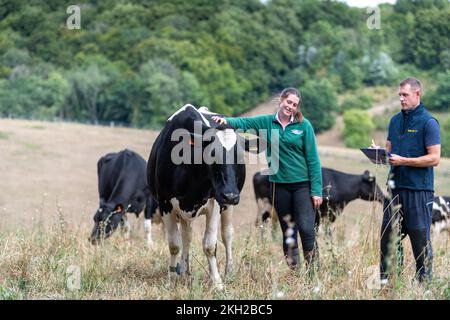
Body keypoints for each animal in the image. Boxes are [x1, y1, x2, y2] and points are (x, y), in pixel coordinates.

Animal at [148, 104, 253, 290]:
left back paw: (229, 272)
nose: (230, 195)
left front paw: (217, 282)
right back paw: (184, 271)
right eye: (212, 154)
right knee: (186, 237)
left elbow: (210, 245)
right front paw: (172, 277)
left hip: (227, 207)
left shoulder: (216, 203)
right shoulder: (165, 203)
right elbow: (174, 244)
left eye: (240, 156)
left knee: (227, 235)